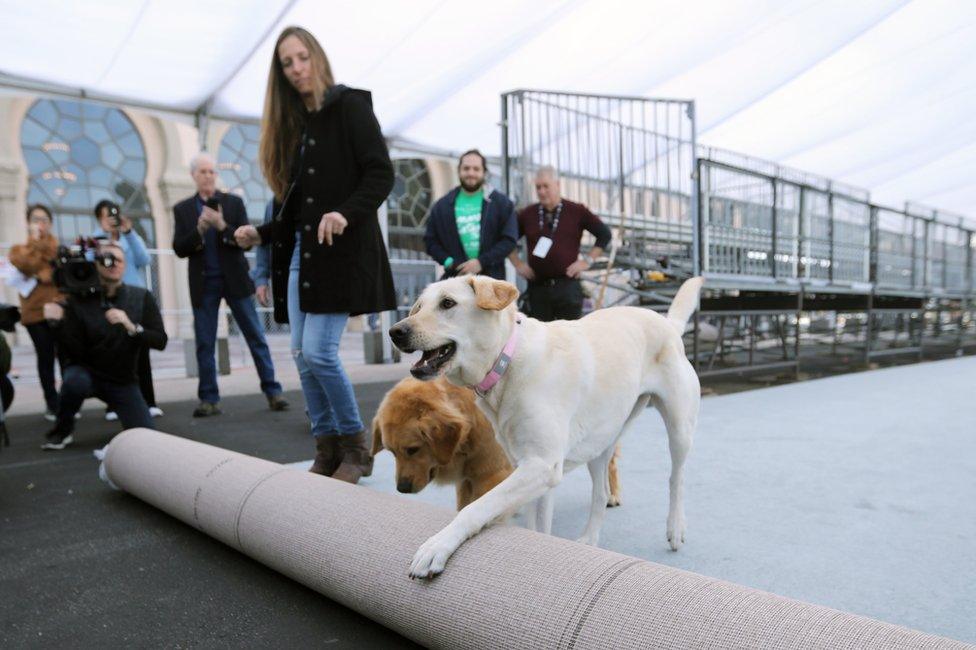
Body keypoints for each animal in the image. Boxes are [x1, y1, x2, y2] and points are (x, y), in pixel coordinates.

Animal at [374, 374, 624, 512]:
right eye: (392, 452)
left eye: (412, 450)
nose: (402, 488)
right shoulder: (467, 478)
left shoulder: (490, 475)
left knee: (610, 466)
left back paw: (612, 494)